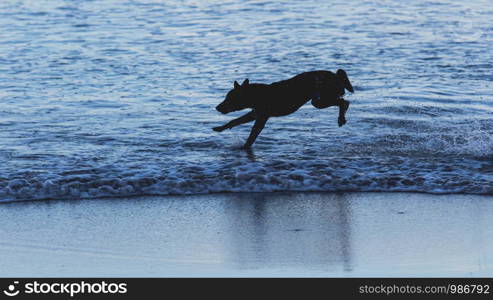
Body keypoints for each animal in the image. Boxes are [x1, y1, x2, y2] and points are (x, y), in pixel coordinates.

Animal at [213, 69, 352, 149]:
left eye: (229, 98)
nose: (217, 107)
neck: (255, 95)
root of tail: (335, 75)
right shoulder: (255, 113)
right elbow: (235, 121)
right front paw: (221, 128)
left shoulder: (261, 118)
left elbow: (252, 135)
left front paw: (245, 147)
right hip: (318, 100)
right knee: (344, 102)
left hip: (319, 100)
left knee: (344, 102)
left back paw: (341, 119)